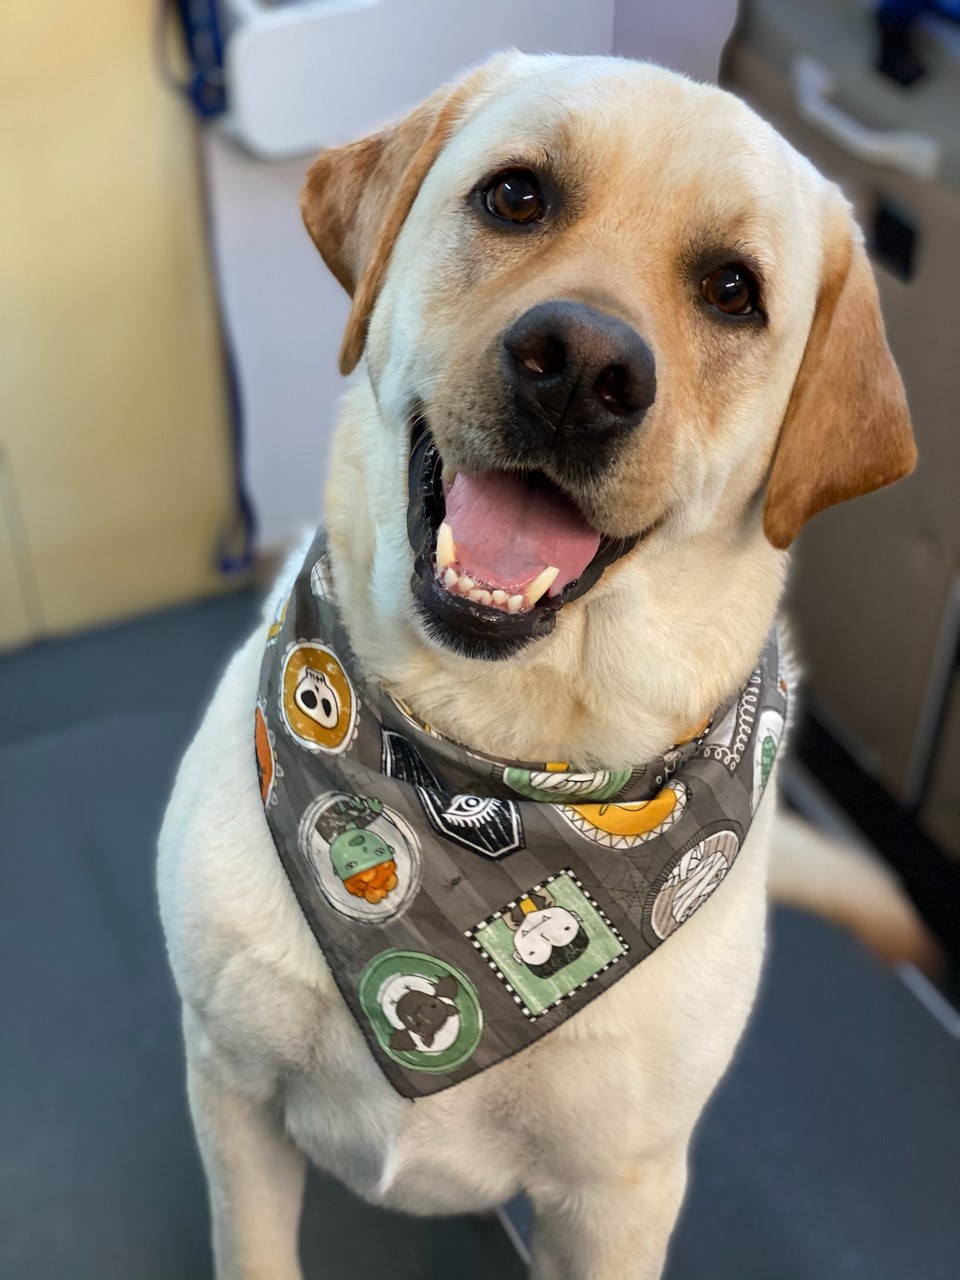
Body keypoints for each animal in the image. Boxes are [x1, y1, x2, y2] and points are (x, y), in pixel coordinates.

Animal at [158, 53, 916, 1280]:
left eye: (733, 290)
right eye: (516, 197)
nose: (582, 369)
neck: (491, 750)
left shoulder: (618, 1202)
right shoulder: (230, 1092)